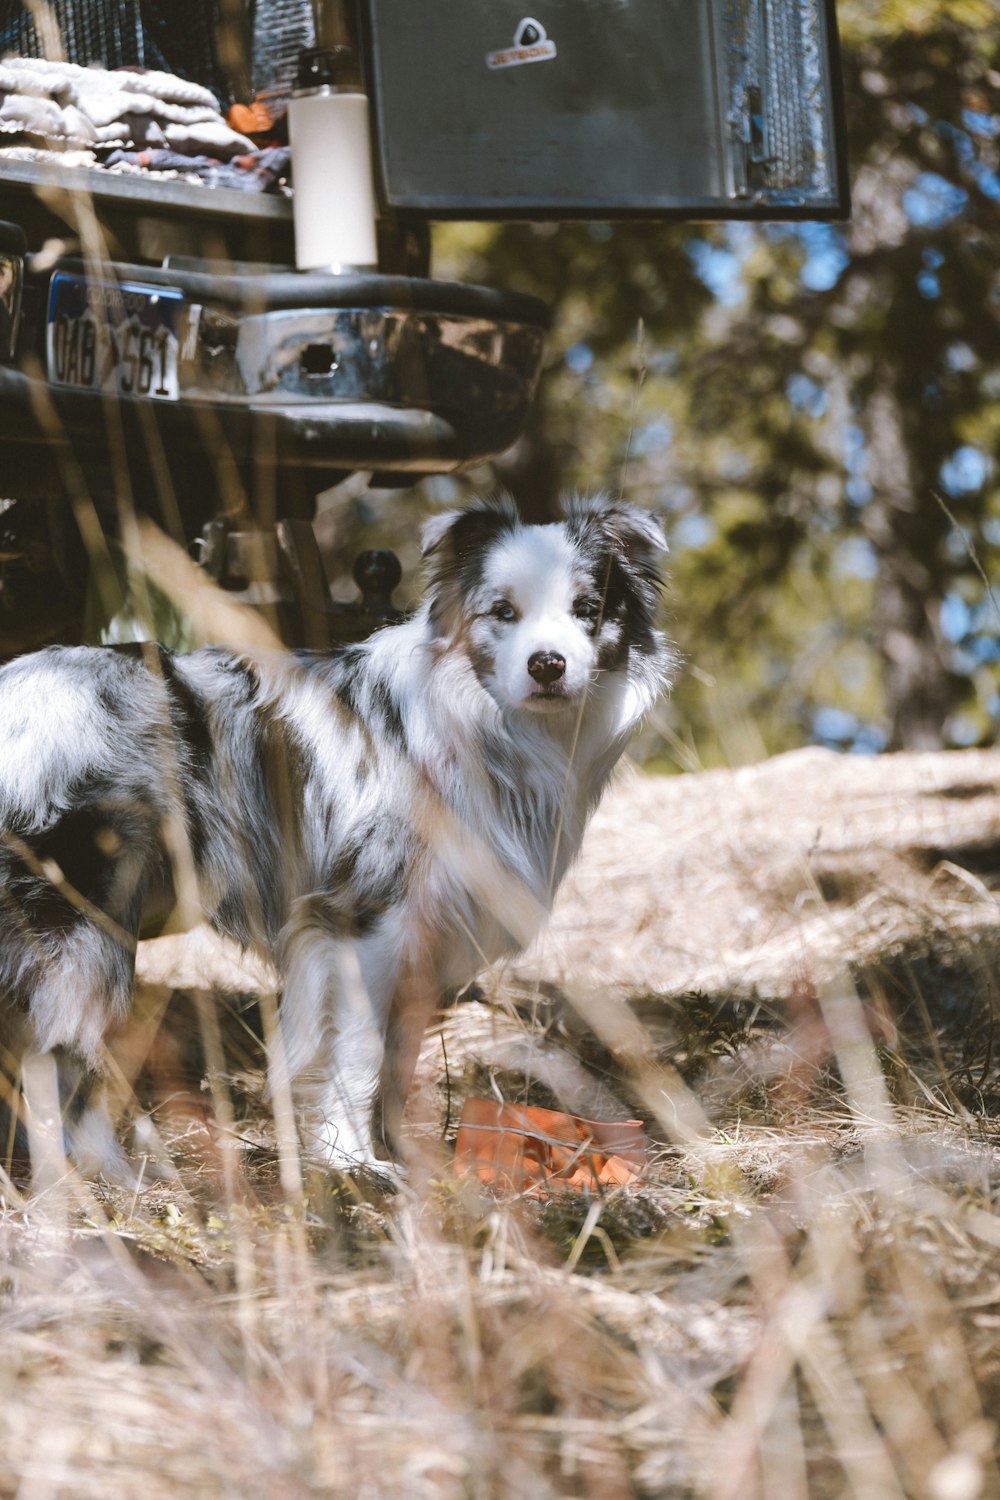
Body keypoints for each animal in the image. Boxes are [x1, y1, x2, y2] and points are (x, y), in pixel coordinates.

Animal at [0, 498, 677, 1176]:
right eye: (503, 612)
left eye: (588, 609)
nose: (547, 665)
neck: (485, 727)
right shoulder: (363, 923)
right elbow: (358, 1055)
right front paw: (354, 1162)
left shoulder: (423, 938)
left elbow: (399, 1064)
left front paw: (406, 1163)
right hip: (84, 925)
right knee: (61, 1055)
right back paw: (112, 1178)